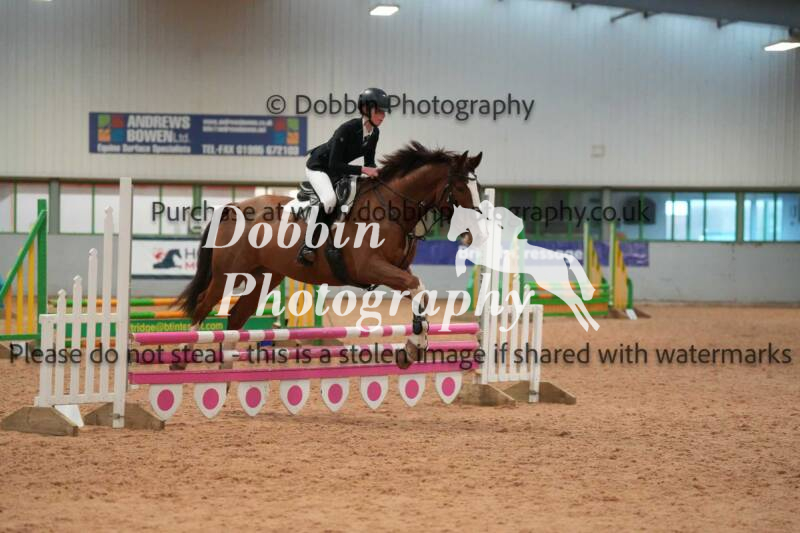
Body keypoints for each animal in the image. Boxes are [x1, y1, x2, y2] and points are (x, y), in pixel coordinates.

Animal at [177, 142, 482, 368]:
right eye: (459, 188)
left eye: (478, 188)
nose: (474, 233)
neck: (391, 208)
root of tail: (233, 206)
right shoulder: (370, 267)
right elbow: (418, 288)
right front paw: (414, 346)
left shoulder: (398, 269)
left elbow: (420, 291)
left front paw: (412, 349)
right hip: (228, 274)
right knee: (204, 305)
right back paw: (182, 355)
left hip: (264, 277)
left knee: (237, 315)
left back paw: (227, 369)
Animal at [447, 204, 600, 332]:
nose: (462, 239)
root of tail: (562, 257)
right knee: (573, 299)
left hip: (554, 283)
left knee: (574, 298)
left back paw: (589, 323)